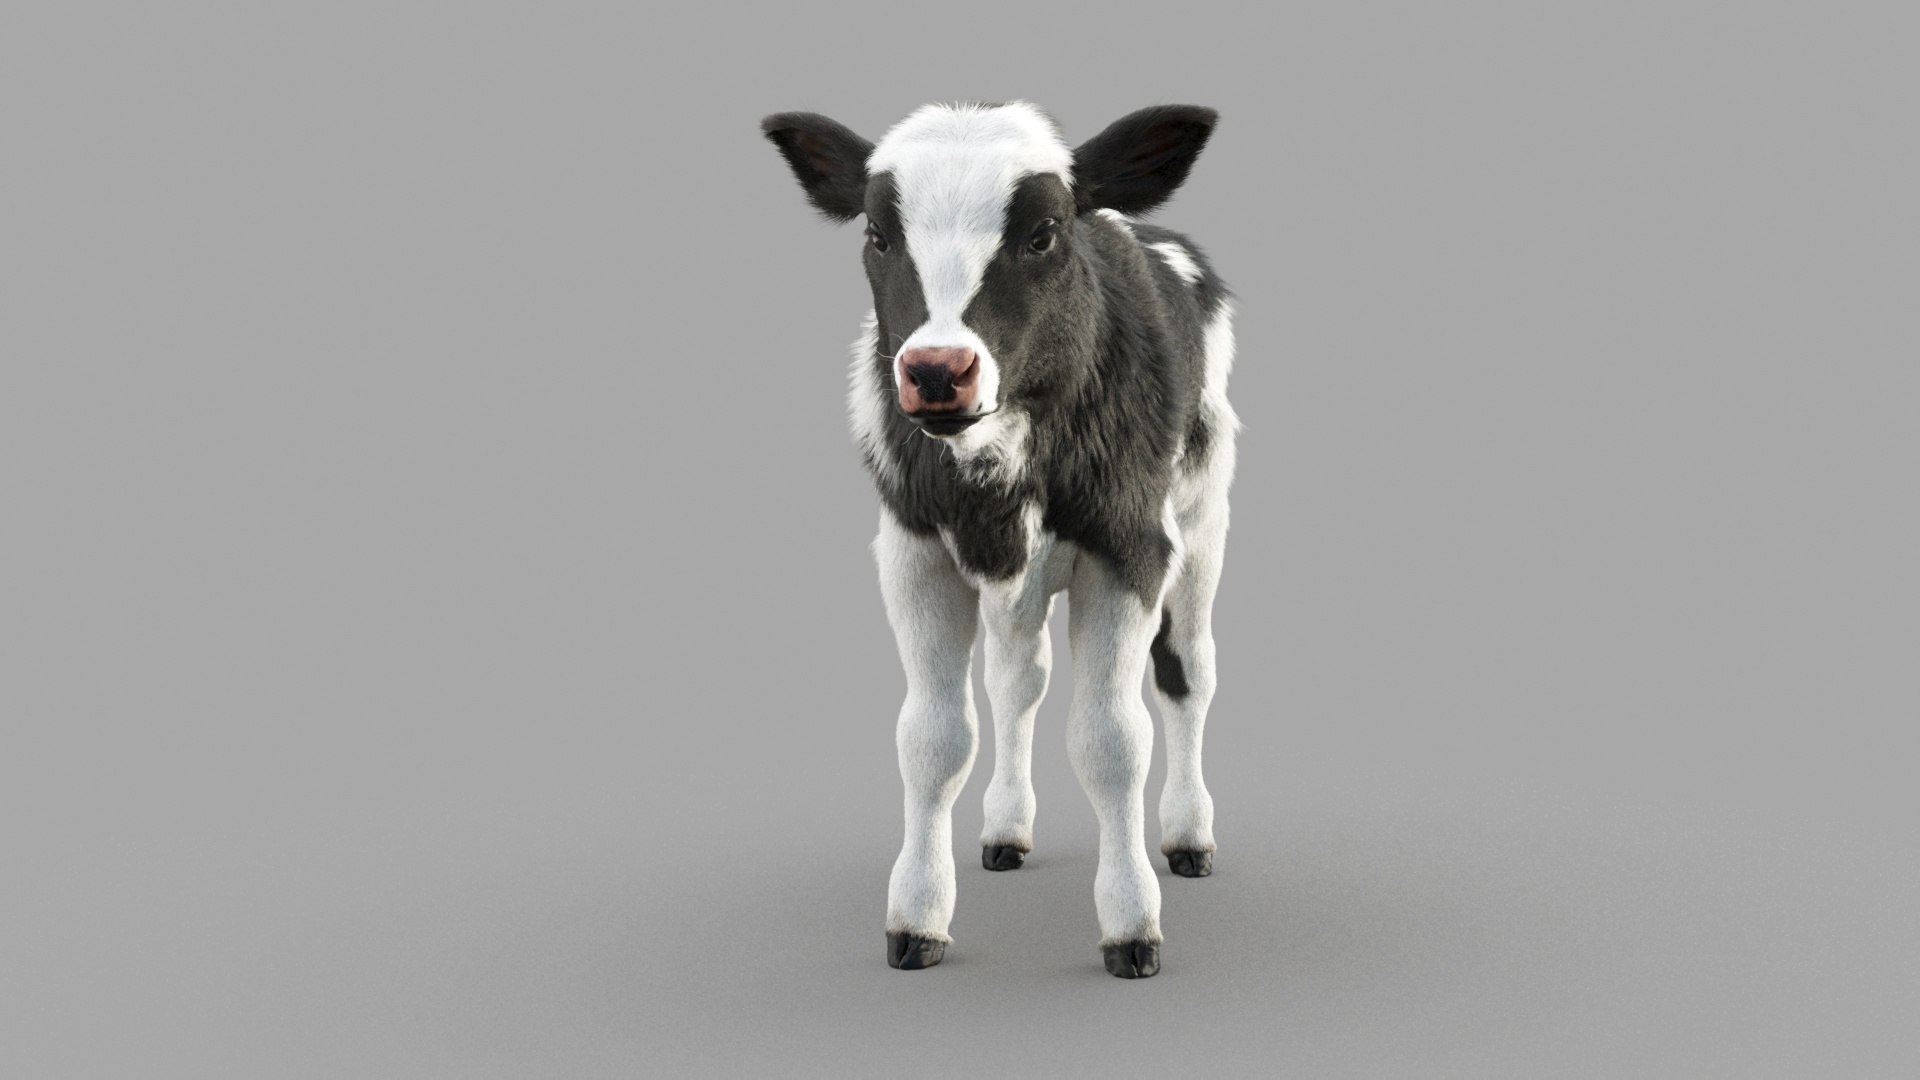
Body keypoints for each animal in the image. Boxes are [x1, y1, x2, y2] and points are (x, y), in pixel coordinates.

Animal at [761, 101, 1236, 979]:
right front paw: (916, 916)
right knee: (1018, 681)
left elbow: (1113, 739)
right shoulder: (913, 550)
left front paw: (1132, 925)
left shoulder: (1128, 549)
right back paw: (1007, 828)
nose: (936, 370)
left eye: (1044, 232)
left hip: (1204, 512)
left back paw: (1190, 835)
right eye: (877, 234)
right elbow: (934, 737)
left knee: (1189, 671)